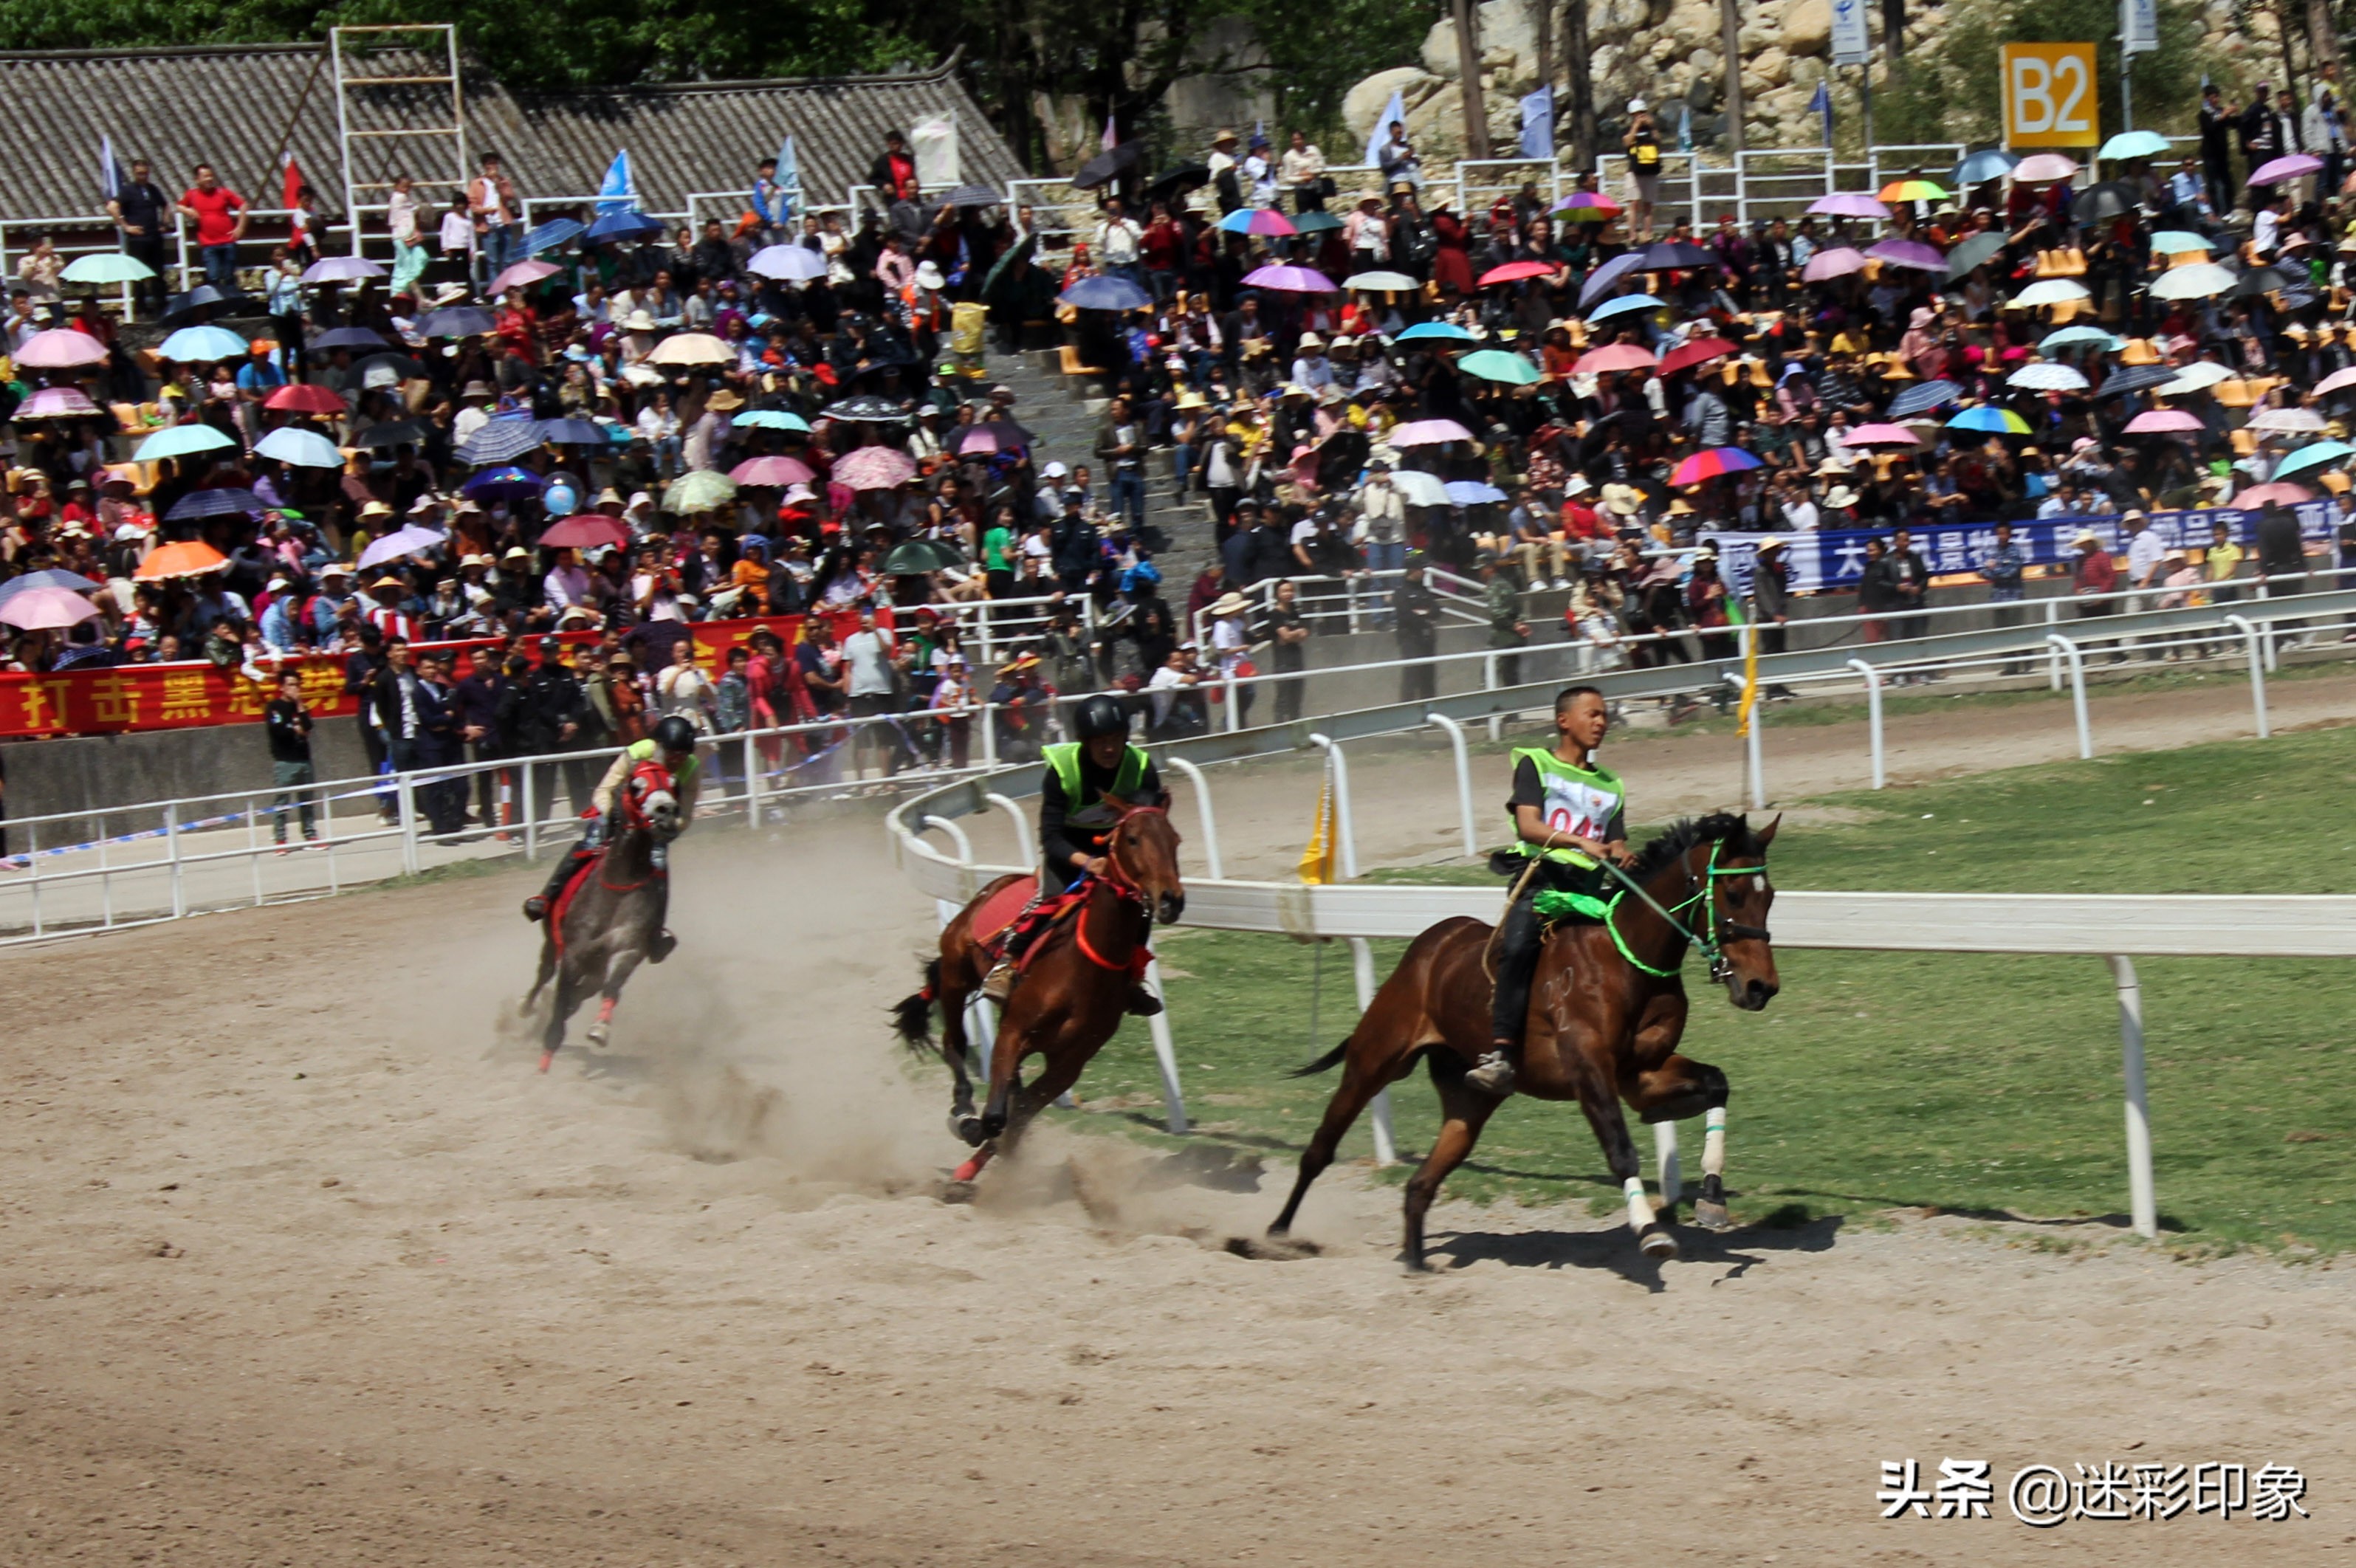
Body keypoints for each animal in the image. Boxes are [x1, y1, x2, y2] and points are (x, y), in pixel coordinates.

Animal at [525, 757, 683, 1073]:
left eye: (674, 783)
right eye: (636, 785)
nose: (667, 813)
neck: (618, 883)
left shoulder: (628, 948)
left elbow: (612, 988)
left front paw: (600, 1029)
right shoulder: (573, 955)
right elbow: (560, 1003)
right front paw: (545, 1061)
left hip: (595, 968)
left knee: (585, 991)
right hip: (552, 943)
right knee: (544, 975)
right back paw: (526, 1011)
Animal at [885, 800, 1187, 1177]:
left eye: (1175, 840)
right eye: (1132, 838)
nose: (1171, 900)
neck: (1082, 971)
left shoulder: (1068, 1063)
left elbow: (1018, 1117)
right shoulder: (1014, 1032)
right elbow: (997, 1118)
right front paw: (974, 1138)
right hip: (956, 978)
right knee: (954, 1042)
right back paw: (964, 1115)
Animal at [1281, 810, 1771, 1262]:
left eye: (1769, 897)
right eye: (1733, 894)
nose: (1761, 986)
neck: (1625, 960)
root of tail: (1430, 946)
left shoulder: (1641, 1073)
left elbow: (1716, 1084)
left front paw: (1712, 1195)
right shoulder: (1589, 1071)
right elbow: (1620, 1148)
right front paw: (1651, 1231)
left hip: (1469, 1100)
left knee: (1421, 1182)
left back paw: (1416, 1261)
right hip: (1373, 1060)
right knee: (1320, 1148)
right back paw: (1277, 1233)